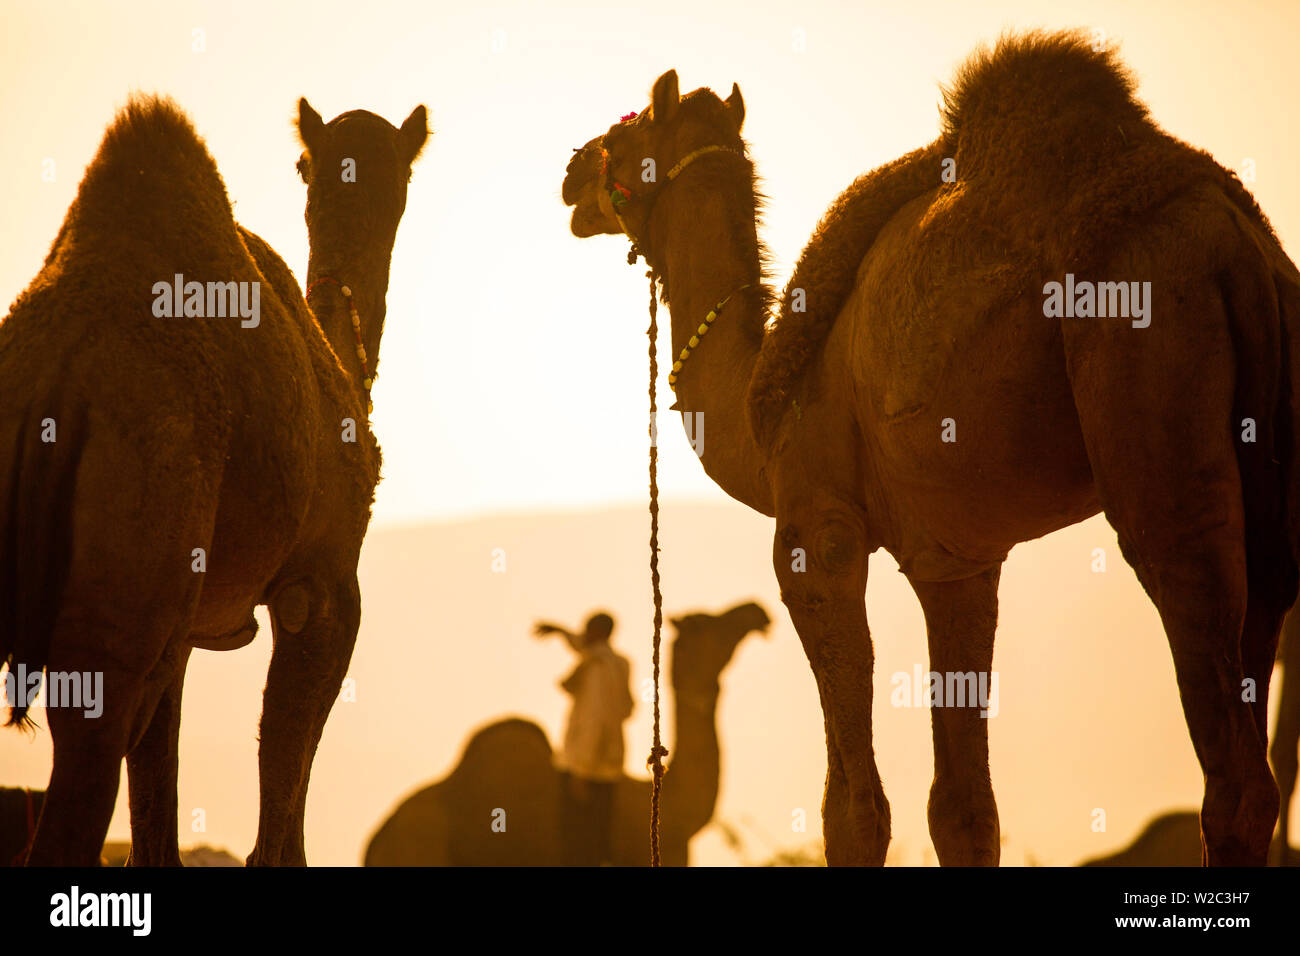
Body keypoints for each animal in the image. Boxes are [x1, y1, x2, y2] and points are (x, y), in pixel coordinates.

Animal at [0, 95, 427, 865]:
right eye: (309, 165)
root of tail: (54, 383)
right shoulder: (323, 583)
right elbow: (281, 795)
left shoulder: (185, 628)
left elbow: (159, 823)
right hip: (130, 565)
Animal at [561, 30, 1300, 866]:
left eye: (623, 136)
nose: (570, 170)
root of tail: (1238, 246)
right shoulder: (957, 561)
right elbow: (964, 810)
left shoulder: (818, 533)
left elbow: (852, 810)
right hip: (1273, 474)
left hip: (1150, 378)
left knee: (1230, 758)